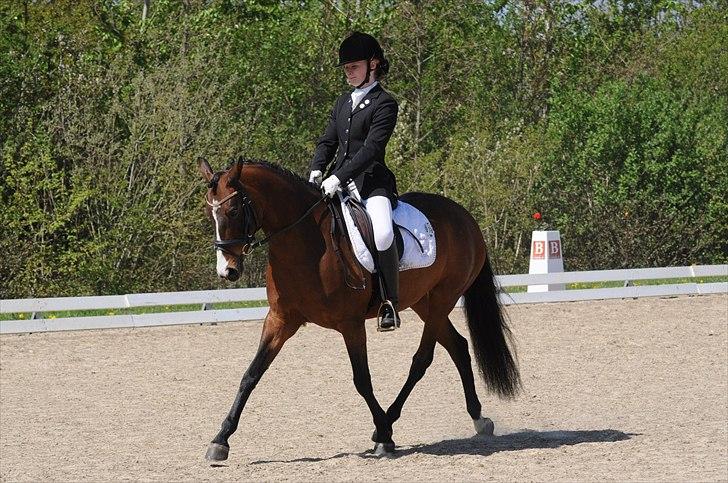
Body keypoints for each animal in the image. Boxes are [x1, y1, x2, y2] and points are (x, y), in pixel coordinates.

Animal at [199, 157, 521, 460]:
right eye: (209, 213)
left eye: (233, 211)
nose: (227, 271)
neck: (307, 242)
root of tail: (464, 216)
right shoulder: (280, 320)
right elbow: (251, 375)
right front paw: (220, 440)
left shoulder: (350, 324)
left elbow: (362, 380)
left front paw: (385, 438)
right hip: (424, 303)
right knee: (458, 347)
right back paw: (479, 418)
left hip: (443, 298)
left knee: (422, 360)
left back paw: (388, 424)